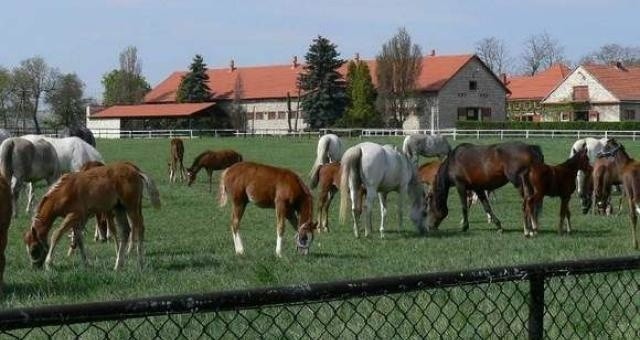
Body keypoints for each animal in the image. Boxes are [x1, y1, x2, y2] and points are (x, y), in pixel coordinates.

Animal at [24, 162, 160, 270]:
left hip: (131, 206)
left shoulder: (74, 215)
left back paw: (140, 263)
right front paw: (86, 263)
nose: (35, 267)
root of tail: (135, 170)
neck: (63, 192)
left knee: (139, 227)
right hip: (119, 208)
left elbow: (56, 234)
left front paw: (49, 263)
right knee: (125, 231)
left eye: (34, 249)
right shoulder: (78, 219)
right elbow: (79, 238)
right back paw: (118, 265)